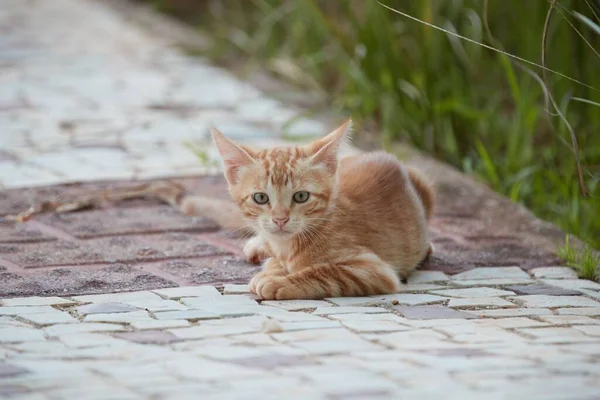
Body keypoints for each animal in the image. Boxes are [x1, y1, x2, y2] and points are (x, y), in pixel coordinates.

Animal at [180, 119, 434, 300]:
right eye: (260, 198)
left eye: (301, 196)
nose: (280, 219)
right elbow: (276, 260)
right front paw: (273, 267)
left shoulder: (373, 270)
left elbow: (325, 271)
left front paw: (278, 281)